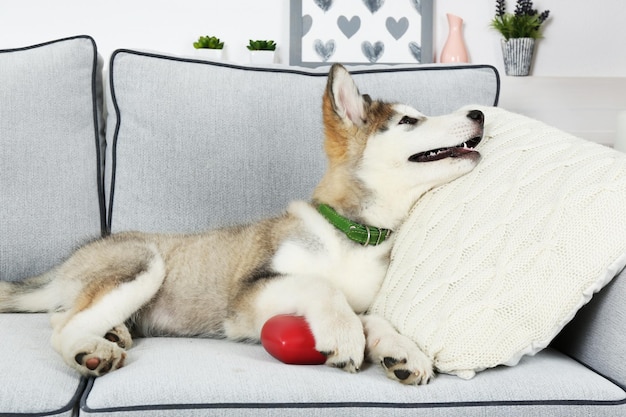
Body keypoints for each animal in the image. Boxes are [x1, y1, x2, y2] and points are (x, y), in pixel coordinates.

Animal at [0, 63, 482, 386]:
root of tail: (68, 263)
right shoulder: (248, 300)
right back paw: (92, 350)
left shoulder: (344, 301)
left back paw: (113, 332)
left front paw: (403, 351)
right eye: (409, 120)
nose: (478, 112)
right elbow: (320, 287)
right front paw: (345, 335)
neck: (350, 236)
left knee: (61, 315)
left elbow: (374, 318)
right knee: (62, 327)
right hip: (142, 261)